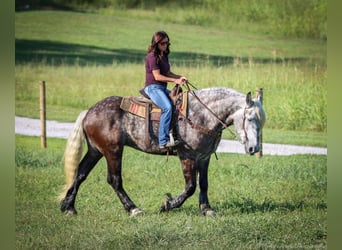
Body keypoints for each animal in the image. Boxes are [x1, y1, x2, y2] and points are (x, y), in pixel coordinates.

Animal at [60, 87, 266, 216]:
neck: (202, 115)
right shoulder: (187, 156)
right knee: (114, 180)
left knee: (80, 174)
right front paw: (168, 204)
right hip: (113, 151)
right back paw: (133, 209)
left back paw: (68, 207)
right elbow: (190, 187)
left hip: (96, 150)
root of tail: (89, 112)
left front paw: (206, 209)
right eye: (249, 118)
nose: (254, 148)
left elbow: (204, 184)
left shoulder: (204, 157)